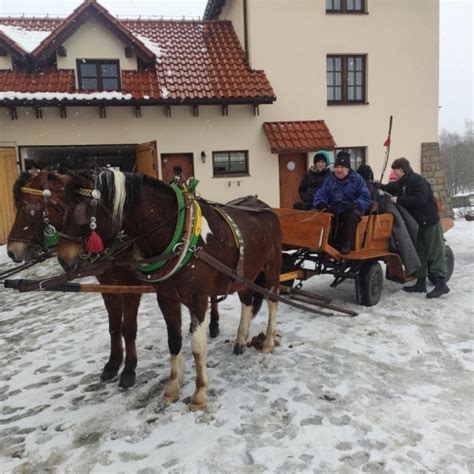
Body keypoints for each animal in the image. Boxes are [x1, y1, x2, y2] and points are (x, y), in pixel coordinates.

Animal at [6, 170, 219, 388]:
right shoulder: (108, 286)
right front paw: (113, 364)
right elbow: (114, 327)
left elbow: (129, 328)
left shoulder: (129, 287)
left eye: (30, 207)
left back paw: (213, 324)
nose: (12, 251)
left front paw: (129, 369)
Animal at [57, 171, 284, 412]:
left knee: (272, 301)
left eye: (80, 211)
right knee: (247, 301)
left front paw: (199, 393)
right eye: (63, 208)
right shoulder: (166, 298)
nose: (63, 258)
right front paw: (172, 388)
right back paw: (240, 341)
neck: (180, 235)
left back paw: (268, 342)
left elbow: (197, 347)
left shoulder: (198, 299)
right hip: (244, 276)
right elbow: (174, 341)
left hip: (271, 267)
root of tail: (263, 206)